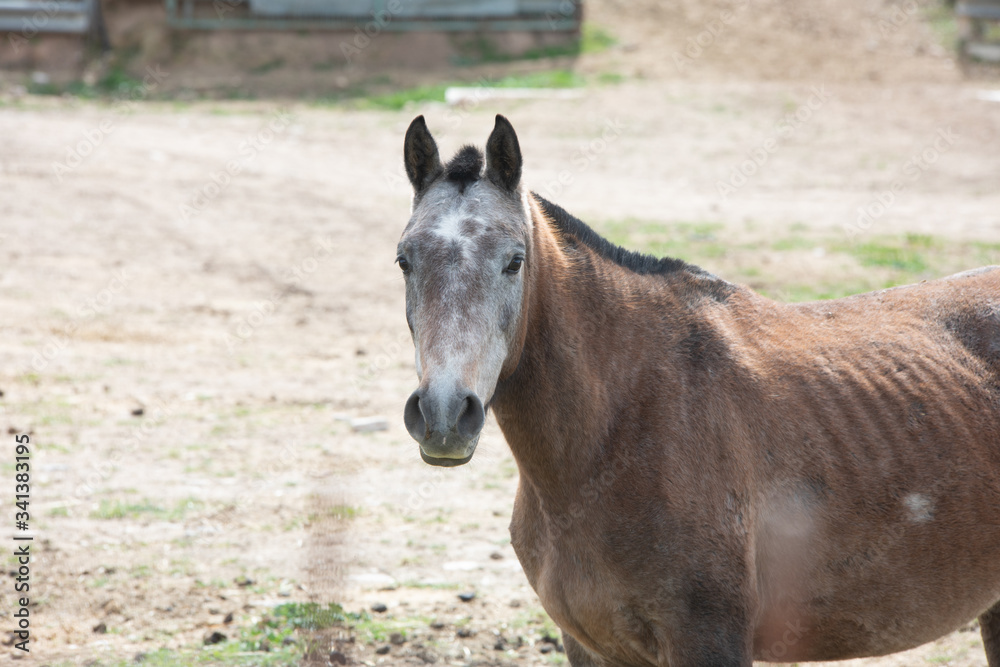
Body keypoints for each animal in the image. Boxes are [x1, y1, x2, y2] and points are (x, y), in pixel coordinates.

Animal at [395, 114, 1000, 666]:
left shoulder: (707, 639)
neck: (619, 429)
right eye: (404, 260)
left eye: (514, 261)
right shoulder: (590, 645)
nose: (444, 415)